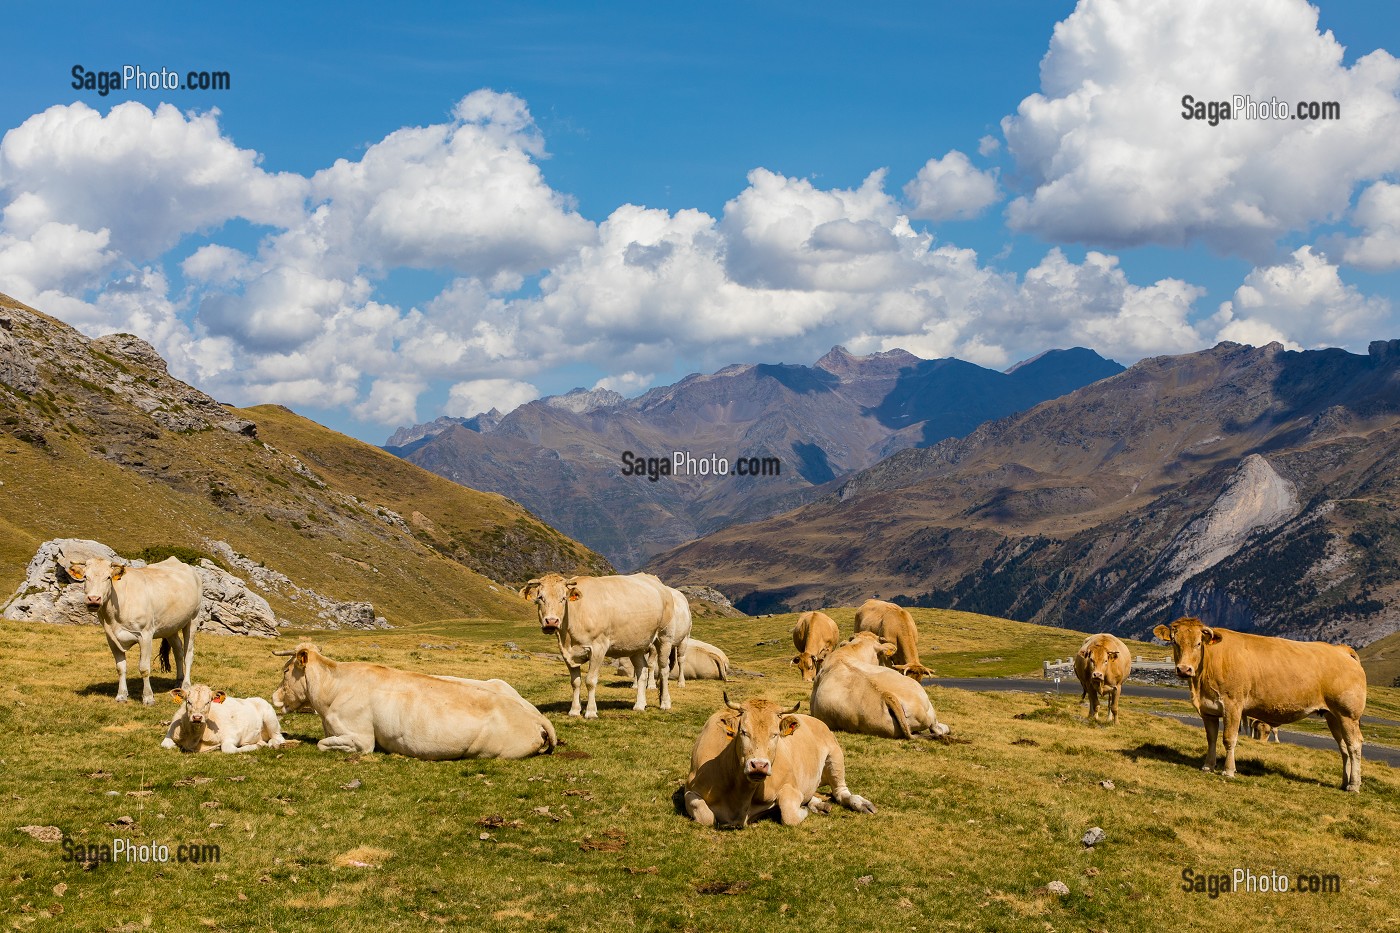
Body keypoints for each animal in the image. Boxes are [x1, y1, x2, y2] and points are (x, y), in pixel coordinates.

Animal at [67, 556, 201, 705]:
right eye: (85, 576)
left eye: (108, 577)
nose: (94, 599)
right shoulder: (111, 638)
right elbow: (120, 668)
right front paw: (121, 695)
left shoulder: (145, 635)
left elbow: (144, 668)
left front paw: (148, 697)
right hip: (171, 626)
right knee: (178, 651)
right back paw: (178, 682)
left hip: (193, 618)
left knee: (188, 654)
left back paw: (186, 685)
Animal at [519, 572, 681, 718]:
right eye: (540, 598)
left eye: (563, 599)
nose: (551, 621)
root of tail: (658, 583)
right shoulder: (567, 653)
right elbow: (575, 682)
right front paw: (574, 710)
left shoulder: (598, 648)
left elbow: (590, 681)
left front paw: (591, 711)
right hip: (636, 645)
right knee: (642, 671)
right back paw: (639, 705)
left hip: (665, 637)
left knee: (664, 669)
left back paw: (665, 703)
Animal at [683, 694, 876, 828]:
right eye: (743, 732)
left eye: (775, 734)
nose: (759, 765)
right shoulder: (690, 789)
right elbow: (706, 816)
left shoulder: (792, 787)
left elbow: (789, 814)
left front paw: (803, 809)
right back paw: (819, 804)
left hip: (836, 757)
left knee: (841, 792)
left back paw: (861, 804)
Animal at [1153, 617, 1366, 792]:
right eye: (1174, 642)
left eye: (1198, 643)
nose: (1184, 669)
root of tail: (1341, 650)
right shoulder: (1209, 710)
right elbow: (1211, 738)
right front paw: (1208, 766)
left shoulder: (1233, 705)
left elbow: (1229, 739)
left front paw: (1228, 770)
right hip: (1333, 715)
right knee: (1344, 747)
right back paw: (1344, 782)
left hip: (1348, 714)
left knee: (1354, 745)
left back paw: (1354, 785)